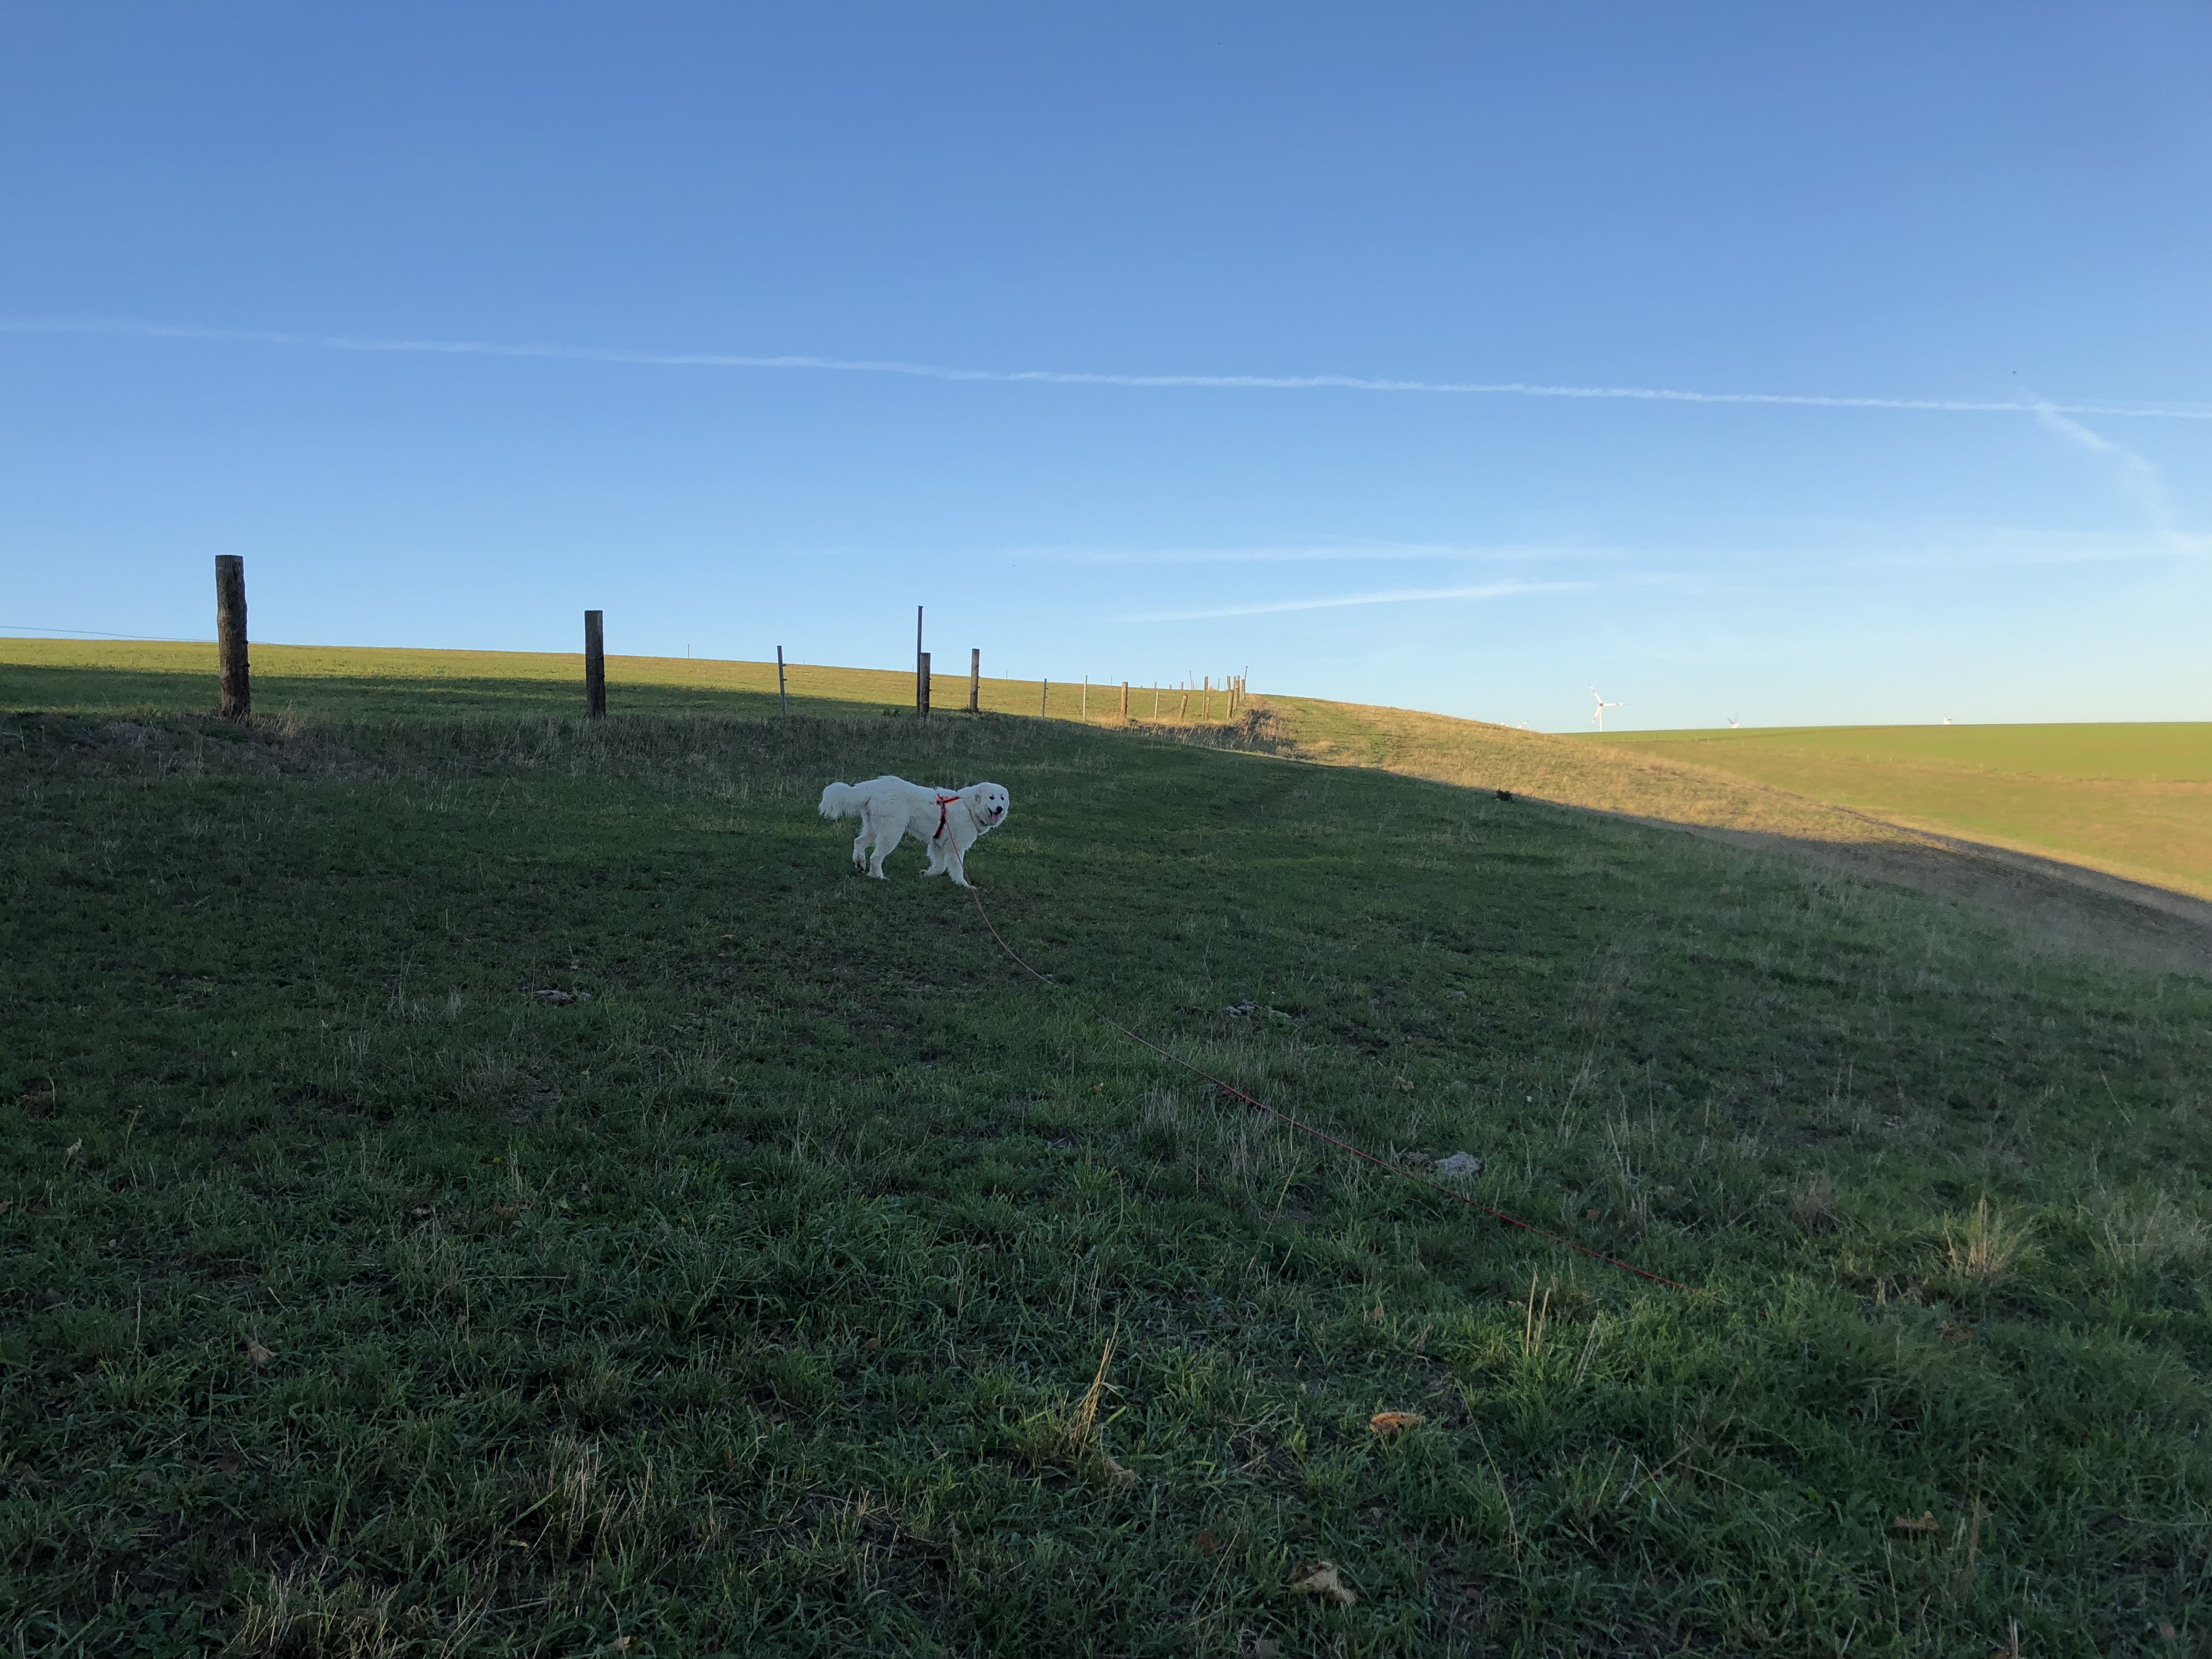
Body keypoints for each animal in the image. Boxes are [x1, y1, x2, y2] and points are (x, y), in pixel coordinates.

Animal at [818, 775, 1011, 889]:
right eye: (991, 798)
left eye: (1002, 798)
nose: (1000, 808)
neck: (969, 807)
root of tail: (877, 785)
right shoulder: (955, 847)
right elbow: (957, 868)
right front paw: (963, 885)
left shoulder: (938, 845)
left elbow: (940, 867)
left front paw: (928, 873)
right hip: (892, 833)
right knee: (876, 857)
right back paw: (878, 876)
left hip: (874, 828)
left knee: (859, 842)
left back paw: (860, 864)